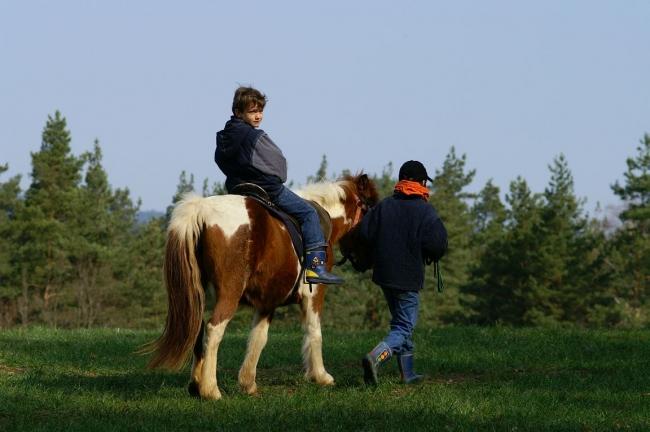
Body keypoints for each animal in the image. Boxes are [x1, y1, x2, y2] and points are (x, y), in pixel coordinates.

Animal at [146, 173, 374, 402]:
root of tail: (201, 208)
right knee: (213, 329)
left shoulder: (267, 302)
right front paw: (320, 375)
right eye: (369, 209)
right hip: (229, 294)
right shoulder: (314, 293)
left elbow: (258, 338)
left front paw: (248, 382)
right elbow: (314, 330)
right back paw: (210, 389)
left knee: (198, 328)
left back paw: (195, 385)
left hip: (197, 298)